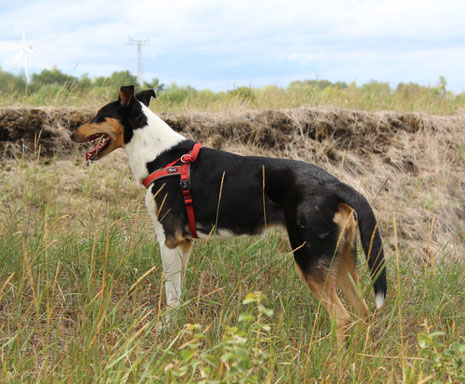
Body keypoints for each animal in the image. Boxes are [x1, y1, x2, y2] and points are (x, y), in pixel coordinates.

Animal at [70, 85, 386, 338]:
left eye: (99, 115)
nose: (72, 133)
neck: (161, 155)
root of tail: (337, 184)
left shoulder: (169, 240)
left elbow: (170, 294)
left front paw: (166, 328)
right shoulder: (184, 244)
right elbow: (179, 292)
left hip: (310, 259)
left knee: (342, 318)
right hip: (342, 261)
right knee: (362, 314)